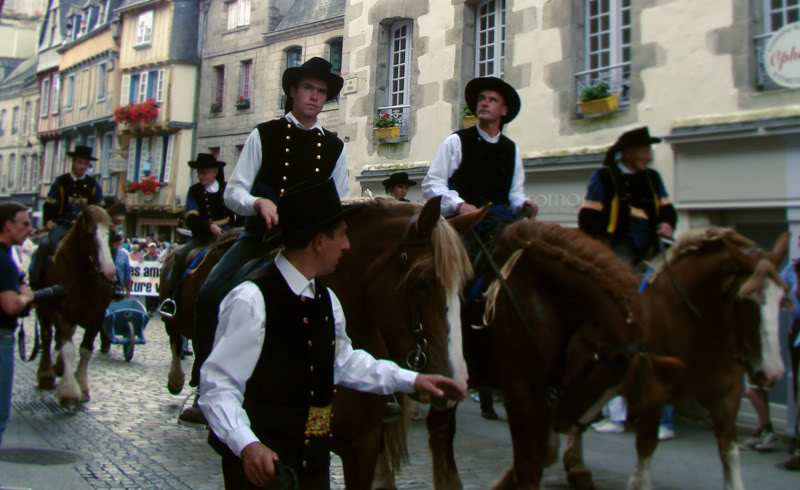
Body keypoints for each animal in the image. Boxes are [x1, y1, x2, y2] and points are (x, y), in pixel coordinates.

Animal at [34, 205, 117, 408]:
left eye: (111, 233)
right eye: (89, 233)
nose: (109, 273)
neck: (83, 275)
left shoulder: (97, 315)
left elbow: (85, 349)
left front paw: (83, 387)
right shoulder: (61, 313)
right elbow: (69, 350)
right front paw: (69, 392)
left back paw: (59, 367)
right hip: (44, 309)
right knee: (47, 338)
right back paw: (46, 374)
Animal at [418, 221, 680, 490]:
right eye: (599, 365)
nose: (565, 421)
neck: (540, 296)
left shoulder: (544, 390)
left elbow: (542, 454)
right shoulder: (521, 390)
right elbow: (528, 465)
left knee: (440, 428)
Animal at [560, 228, 792, 490]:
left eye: (783, 297)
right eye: (746, 299)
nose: (773, 373)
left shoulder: (726, 398)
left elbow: (729, 455)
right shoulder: (653, 394)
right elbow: (645, 455)